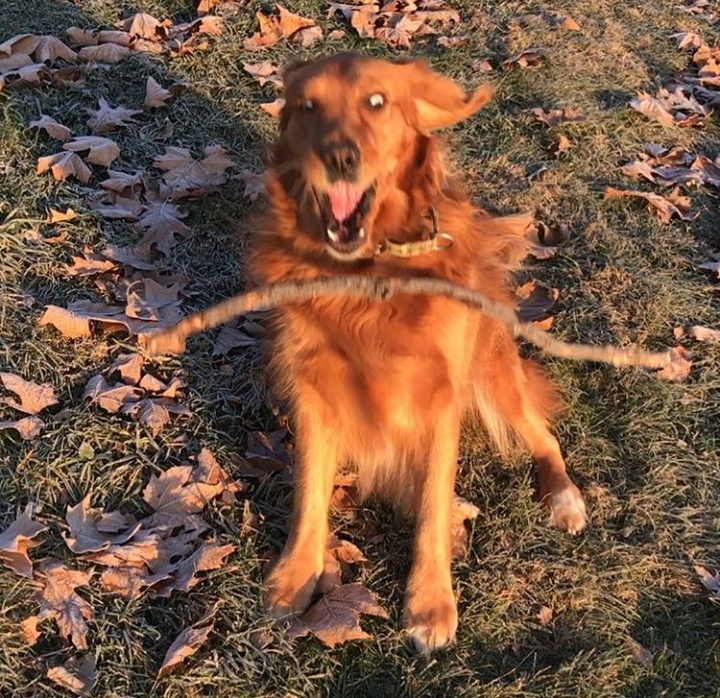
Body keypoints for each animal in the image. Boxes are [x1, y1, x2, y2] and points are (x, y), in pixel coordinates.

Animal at [248, 51, 584, 648]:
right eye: (307, 105)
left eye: (377, 101)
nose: (339, 158)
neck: (371, 279)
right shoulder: (314, 389)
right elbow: (308, 490)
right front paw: (296, 574)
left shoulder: (442, 398)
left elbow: (432, 505)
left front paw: (430, 603)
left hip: (493, 374)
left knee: (543, 435)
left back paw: (564, 496)